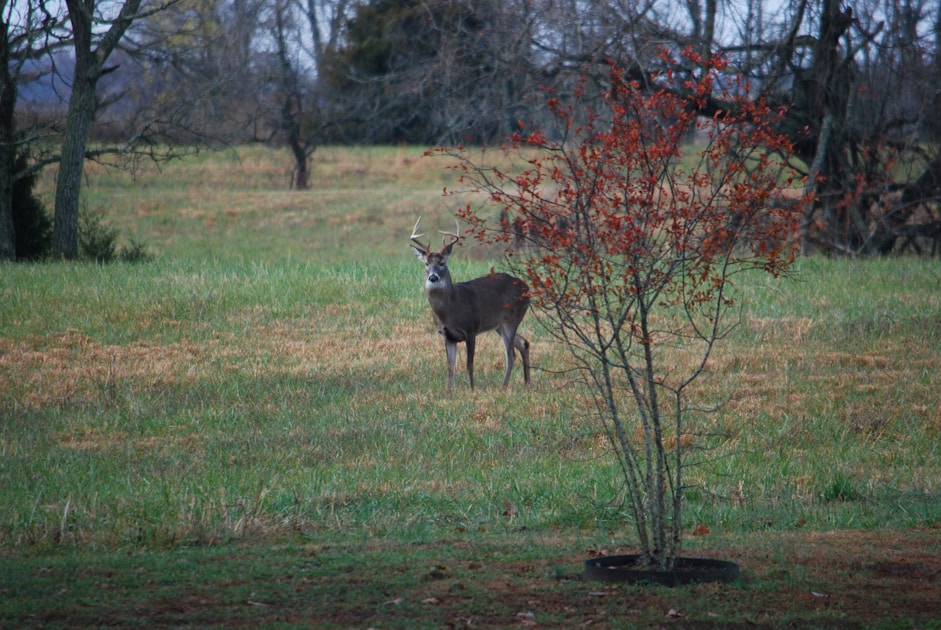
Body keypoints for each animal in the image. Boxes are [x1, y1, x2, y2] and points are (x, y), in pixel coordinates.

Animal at [410, 217, 532, 391]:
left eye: (442, 263)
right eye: (426, 263)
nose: (433, 277)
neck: (450, 309)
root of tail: (527, 288)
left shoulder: (471, 329)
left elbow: (470, 364)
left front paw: (472, 390)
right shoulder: (447, 335)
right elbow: (450, 366)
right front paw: (448, 392)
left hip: (512, 319)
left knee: (511, 355)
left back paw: (504, 387)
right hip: (499, 325)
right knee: (523, 343)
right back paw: (527, 383)